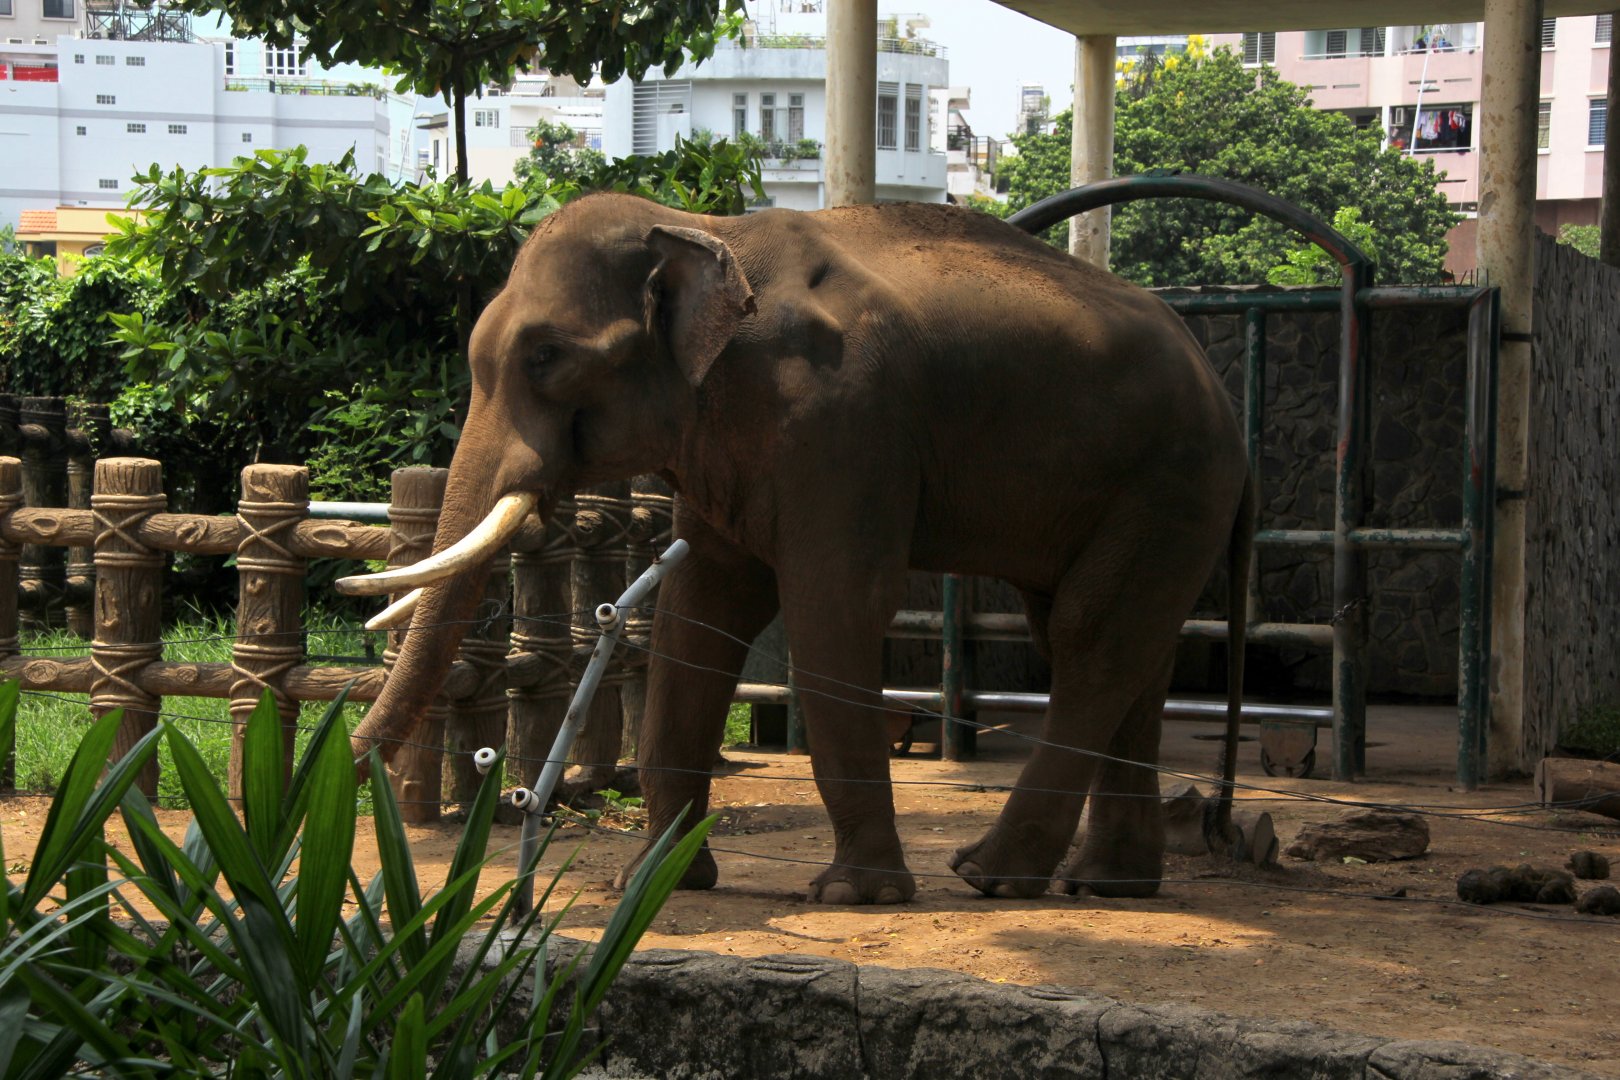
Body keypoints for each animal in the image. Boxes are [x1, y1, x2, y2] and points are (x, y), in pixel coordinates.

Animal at [340, 193, 1252, 905]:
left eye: (545, 356)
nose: (335, 770)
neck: (705, 230)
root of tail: (1215, 375)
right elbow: (699, 614)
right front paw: (652, 882)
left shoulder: (840, 419)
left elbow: (833, 603)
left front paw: (855, 894)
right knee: (1117, 641)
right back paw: (1106, 883)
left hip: (1172, 477)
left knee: (1091, 640)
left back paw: (990, 875)